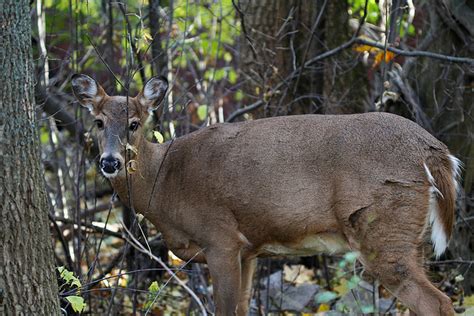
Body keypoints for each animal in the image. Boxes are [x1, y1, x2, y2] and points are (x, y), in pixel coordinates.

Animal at [72, 74, 462, 316]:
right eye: (98, 122)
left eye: (134, 124)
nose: (110, 162)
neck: (166, 182)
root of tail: (434, 149)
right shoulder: (248, 251)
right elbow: (243, 308)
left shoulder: (220, 239)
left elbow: (224, 310)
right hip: (409, 237)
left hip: (382, 228)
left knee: (436, 303)